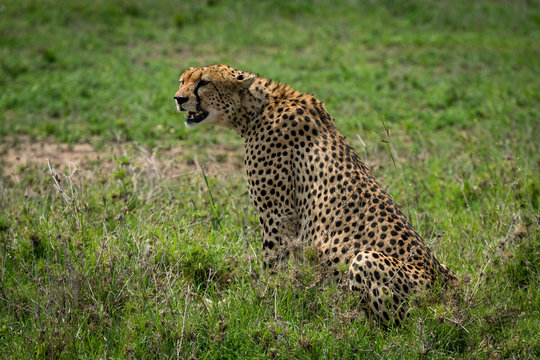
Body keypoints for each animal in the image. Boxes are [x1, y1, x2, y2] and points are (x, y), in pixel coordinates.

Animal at [174, 64, 456, 326]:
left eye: (204, 82)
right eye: (182, 80)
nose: (178, 98)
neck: (258, 107)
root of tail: (452, 293)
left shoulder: (277, 215)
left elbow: (272, 265)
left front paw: (260, 302)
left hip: (366, 259)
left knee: (389, 329)